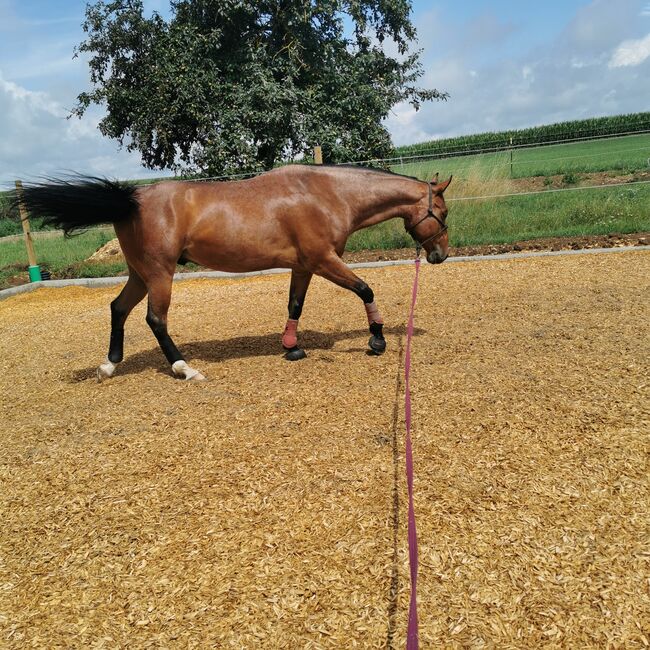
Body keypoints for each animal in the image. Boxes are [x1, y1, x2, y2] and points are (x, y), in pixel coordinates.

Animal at [13, 165, 451, 381]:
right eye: (442, 212)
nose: (441, 255)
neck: (326, 194)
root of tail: (130, 199)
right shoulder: (324, 260)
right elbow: (365, 289)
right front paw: (377, 339)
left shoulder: (303, 266)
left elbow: (295, 305)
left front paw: (291, 346)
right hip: (159, 274)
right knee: (155, 319)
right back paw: (184, 368)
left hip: (139, 274)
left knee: (118, 308)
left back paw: (109, 365)